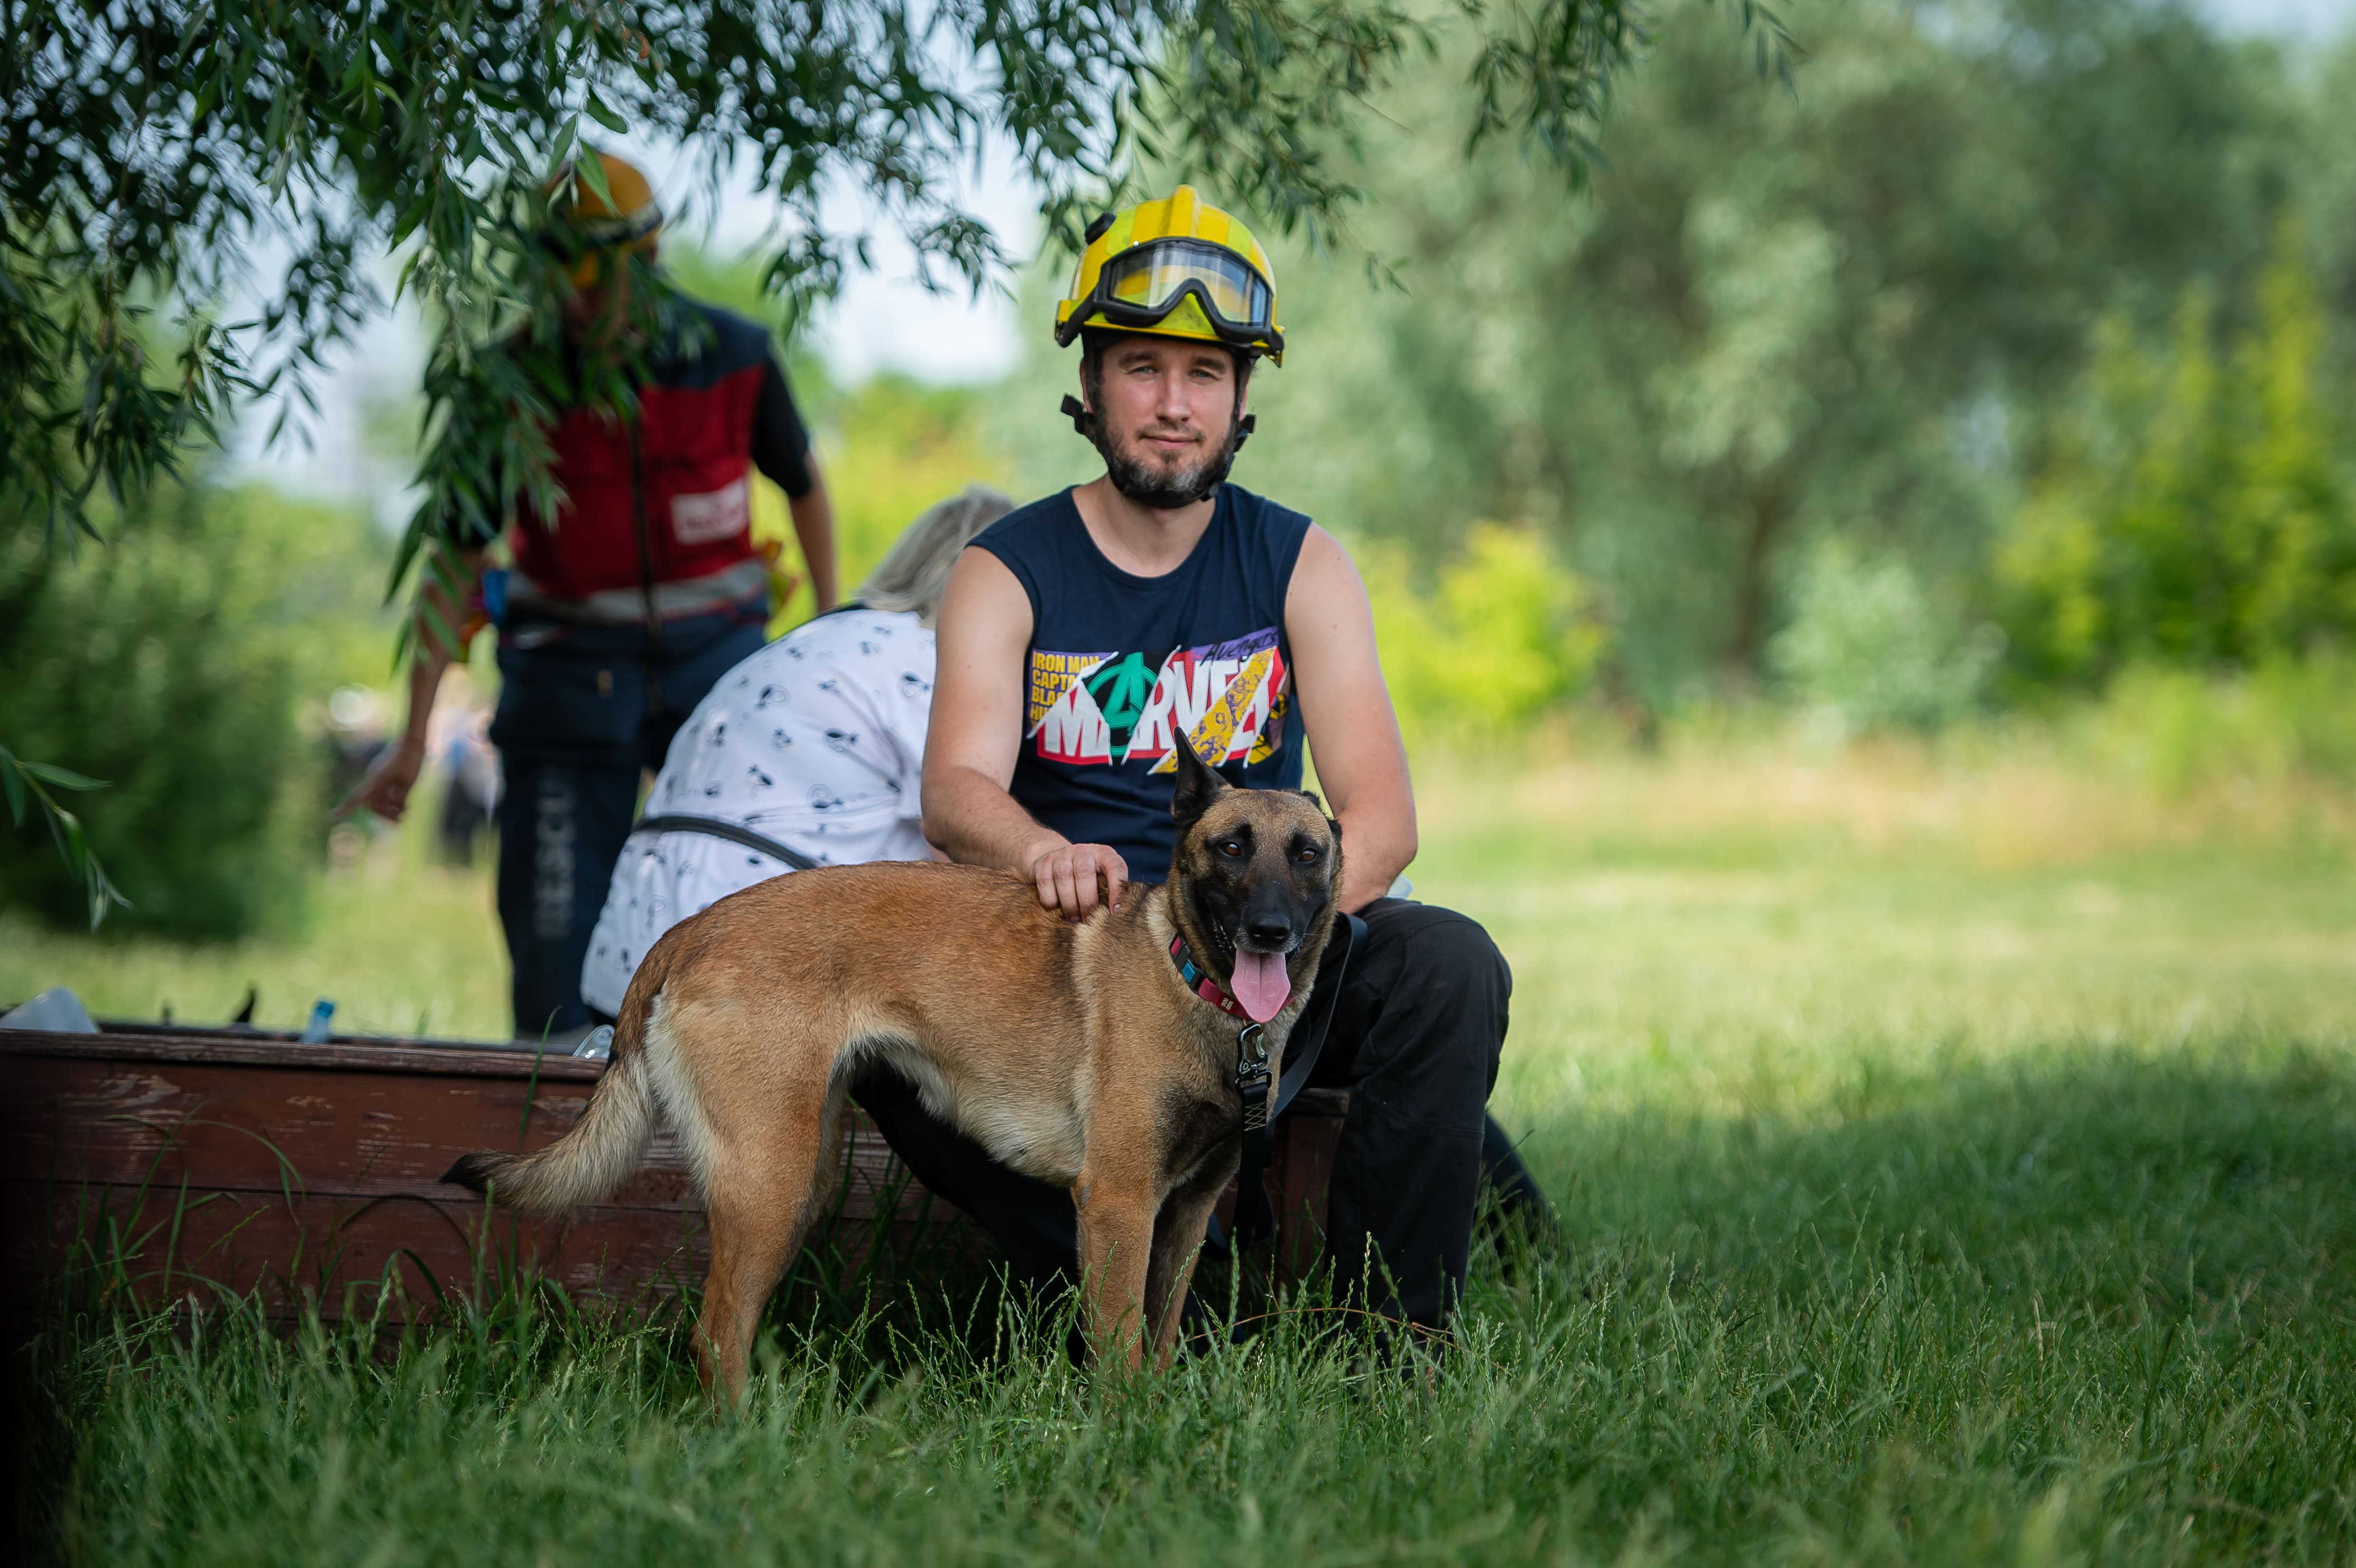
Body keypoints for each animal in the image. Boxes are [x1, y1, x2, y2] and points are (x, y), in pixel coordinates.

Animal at [442, 739, 1347, 1394]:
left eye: (1307, 853)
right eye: (1231, 846)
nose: (1270, 930)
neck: (1192, 978)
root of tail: (694, 926)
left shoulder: (1185, 1214)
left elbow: (1157, 1343)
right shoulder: (1120, 1203)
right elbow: (1120, 1353)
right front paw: (1120, 1437)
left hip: (793, 1177)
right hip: (769, 1183)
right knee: (714, 1335)